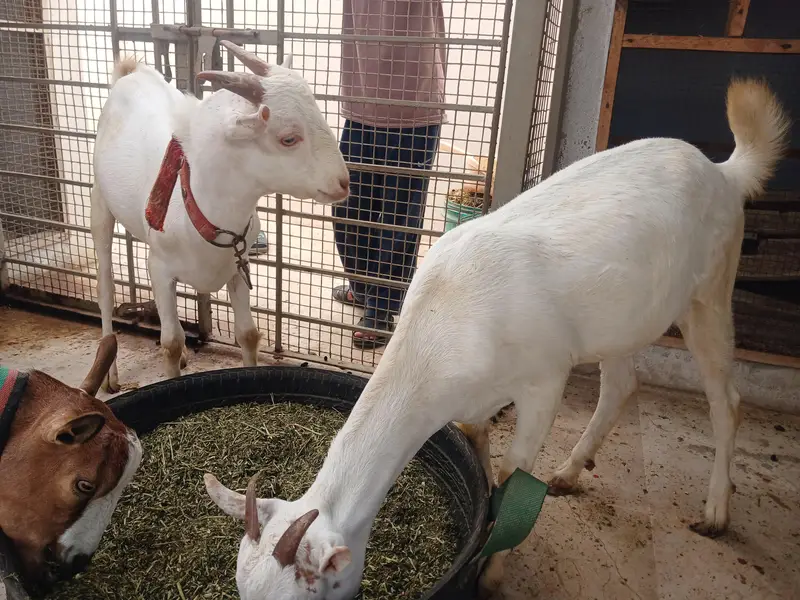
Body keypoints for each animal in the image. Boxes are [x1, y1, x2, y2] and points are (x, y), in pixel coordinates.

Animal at [91, 42, 350, 392]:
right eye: (288, 138)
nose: (344, 182)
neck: (195, 200)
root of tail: (130, 73)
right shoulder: (159, 269)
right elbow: (171, 343)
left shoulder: (238, 266)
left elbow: (248, 334)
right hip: (99, 201)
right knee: (105, 286)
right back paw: (111, 373)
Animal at [202, 78, 789, 600]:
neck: (446, 322)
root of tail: (724, 172)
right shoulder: (475, 393)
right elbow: (475, 441)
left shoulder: (544, 379)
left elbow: (513, 473)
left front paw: (491, 573)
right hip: (624, 318)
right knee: (622, 383)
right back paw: (570, 472)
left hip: (711, 287)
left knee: (726, 398)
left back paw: (716, 511)